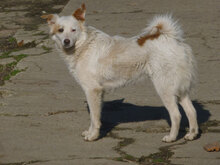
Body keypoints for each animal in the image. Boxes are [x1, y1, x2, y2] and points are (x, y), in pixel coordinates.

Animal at [41, 3, 198, 143]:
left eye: (73, 30)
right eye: (60, 30)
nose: (66, 41)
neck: (84, 45)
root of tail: (172, 38)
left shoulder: (92, 90)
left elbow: (94, 118)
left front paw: (93, 136)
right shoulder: (99, 93)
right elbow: (95, 117)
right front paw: (90, 132)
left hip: (164, 88)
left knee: (176, 115)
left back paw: (171, 137)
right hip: (180, 89)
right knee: (191, 111)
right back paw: (192, 134)